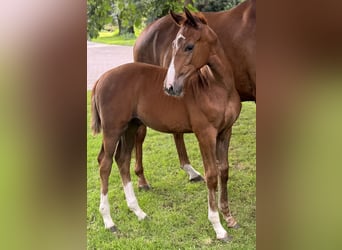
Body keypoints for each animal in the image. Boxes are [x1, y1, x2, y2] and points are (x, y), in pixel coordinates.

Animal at [91, 8, 240, 241]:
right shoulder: (205, 133)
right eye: (173, 45)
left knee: (122, 160)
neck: (217, 86)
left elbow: (224, 171)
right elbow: (211, 175)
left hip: (130, 127)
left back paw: (139, 212)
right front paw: (218, 227)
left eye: (189, 46)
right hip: (112, 129)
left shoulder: (225, 131)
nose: (169, 87)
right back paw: (109, 221)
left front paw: (229, 217)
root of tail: (100, 80)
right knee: (105, 164)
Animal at [132, 0, 255, 188]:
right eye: (175, 46)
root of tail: (143, 33)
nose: (169, 86)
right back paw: (142, 179)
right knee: (139, 134)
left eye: (189, 47)